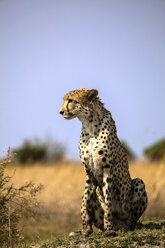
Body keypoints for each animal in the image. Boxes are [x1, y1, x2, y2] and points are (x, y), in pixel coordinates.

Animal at [59, 88, 148, 236]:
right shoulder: (89, 174)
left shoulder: (107, 169)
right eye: (65, 100)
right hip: (96, 192)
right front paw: (85, 229)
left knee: (132, 219)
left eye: (70, 100)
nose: (61, 112)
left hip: (138, 184)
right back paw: (98, 230)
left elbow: (108, 203)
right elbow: (84, 202)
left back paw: (121, 228)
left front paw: (109, 229)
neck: (89, 125)